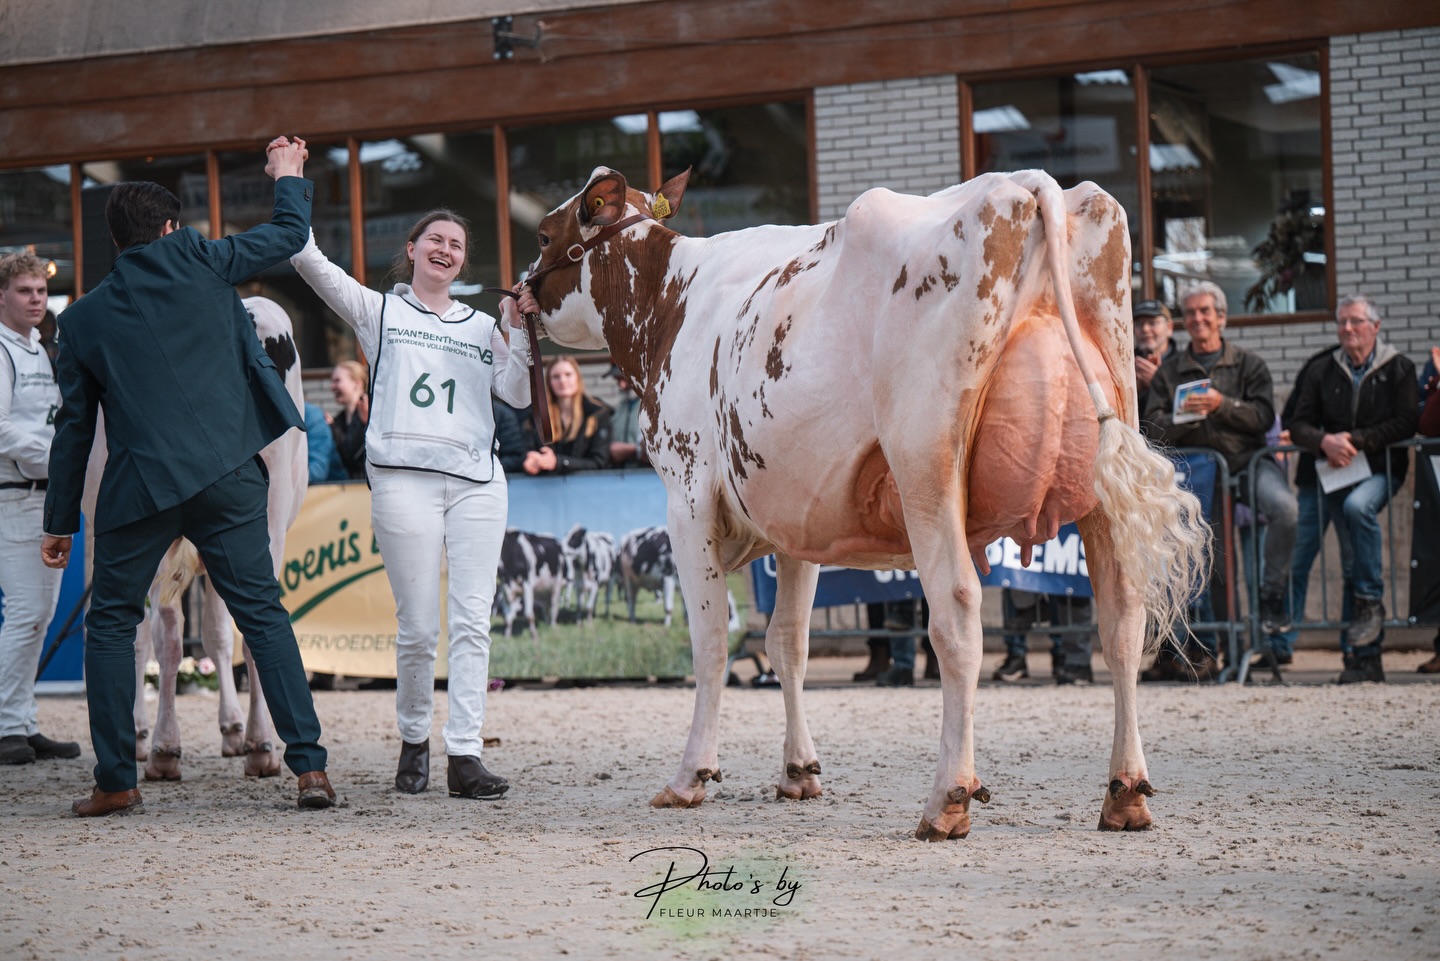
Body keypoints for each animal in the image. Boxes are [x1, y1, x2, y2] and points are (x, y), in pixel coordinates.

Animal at [518, 166, 1209, 839]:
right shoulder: (795, 522)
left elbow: (711, 640)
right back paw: (1124, 794)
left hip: (926, 465)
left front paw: (691, 776)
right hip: (1105, 472)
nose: (514, 294)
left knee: (957, 612)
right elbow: (788, 642)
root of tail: (1029, 183)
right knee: (1122, 619)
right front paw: (799, 771)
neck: (673, 301)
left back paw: (947, 799)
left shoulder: (687, 496)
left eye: (544, 237)